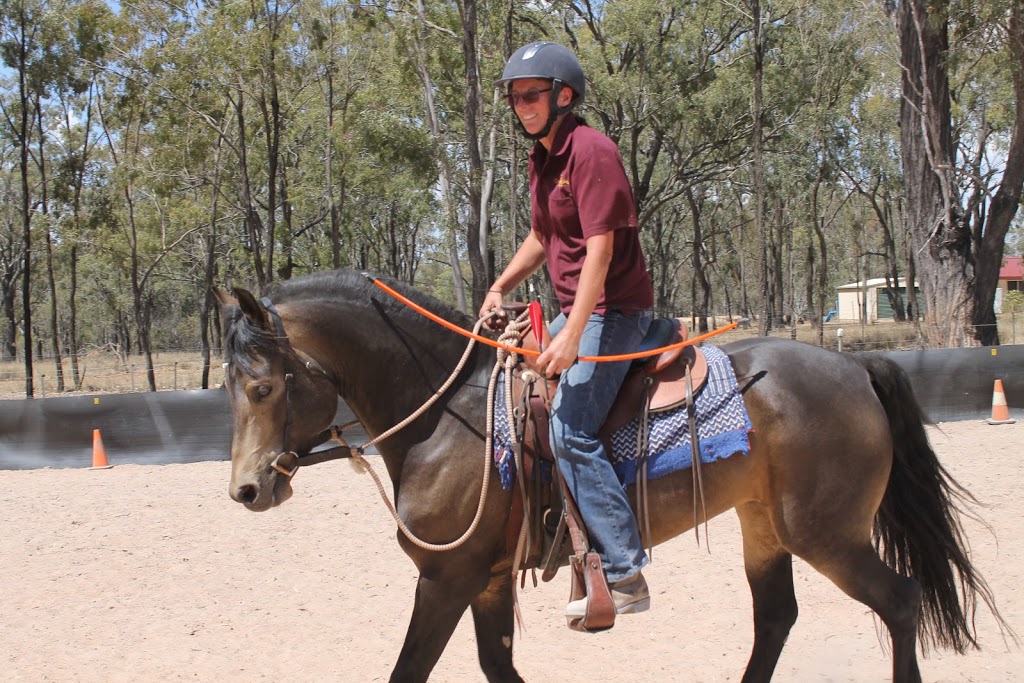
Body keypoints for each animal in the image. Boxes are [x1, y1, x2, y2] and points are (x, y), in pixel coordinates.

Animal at [211, 270, 1003, 679]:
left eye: (262, 386)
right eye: (226, 386)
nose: (246, 490)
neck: (448, 412)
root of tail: (856, 369)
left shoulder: (445, 578)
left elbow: (410, 669)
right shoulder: (486, 578)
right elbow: (497, 667)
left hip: (828, 535)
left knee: (899, 601)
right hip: (766, 528)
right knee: (777, 617)